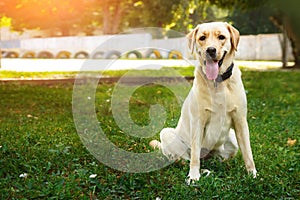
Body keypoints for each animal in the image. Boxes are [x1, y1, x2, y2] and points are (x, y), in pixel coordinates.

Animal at [150, 21, 258, 184]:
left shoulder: (240, 121)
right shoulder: (198, 122)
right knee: (185, 159)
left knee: (219, 158)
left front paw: (253, 175)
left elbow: (248, 153)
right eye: (202, 38)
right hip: (167, 134)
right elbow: (194, 156)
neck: (218, 82)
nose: (211, 50)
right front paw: (193, 177)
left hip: (232, 139)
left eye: (221, 37)